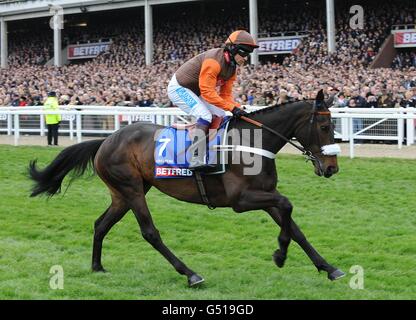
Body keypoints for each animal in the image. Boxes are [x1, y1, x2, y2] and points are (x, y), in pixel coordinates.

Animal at [29, 89, 346, 284]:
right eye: (324, 127)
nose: (332, 168)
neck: (252, 142)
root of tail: (106, 139)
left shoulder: (265, 195)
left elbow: (295, 227)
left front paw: (329, 268)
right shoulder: (241, 200)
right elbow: (287, 205)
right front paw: (280, 255)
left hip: (124, 193)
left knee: (101, 224)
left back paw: (97, 266)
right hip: (131, 189)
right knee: (150, 232)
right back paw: (190, 274)